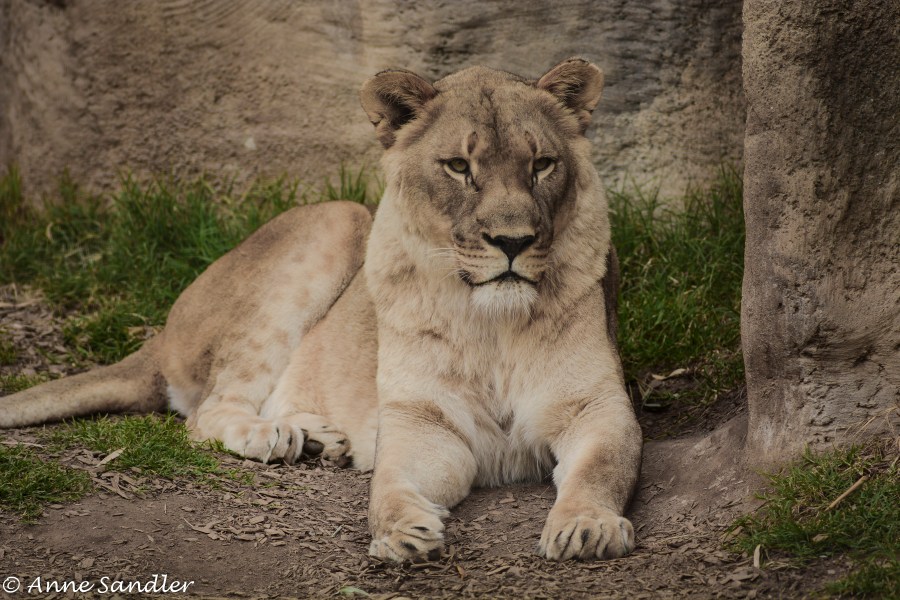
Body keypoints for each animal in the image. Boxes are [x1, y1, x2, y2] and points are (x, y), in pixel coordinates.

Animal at [1, 58, 642, 562]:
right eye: (459, 167)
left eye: (542, 165)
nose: (512, 242)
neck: (492, 324)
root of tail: (158, 339)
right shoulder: (422, 421)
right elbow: (391, 481)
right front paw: (400, 531)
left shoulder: (597, 406)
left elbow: (601, 467)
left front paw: (586, 525)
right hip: (337, 217)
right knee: (204, 415)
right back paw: (276, 437)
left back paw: (315, 439)